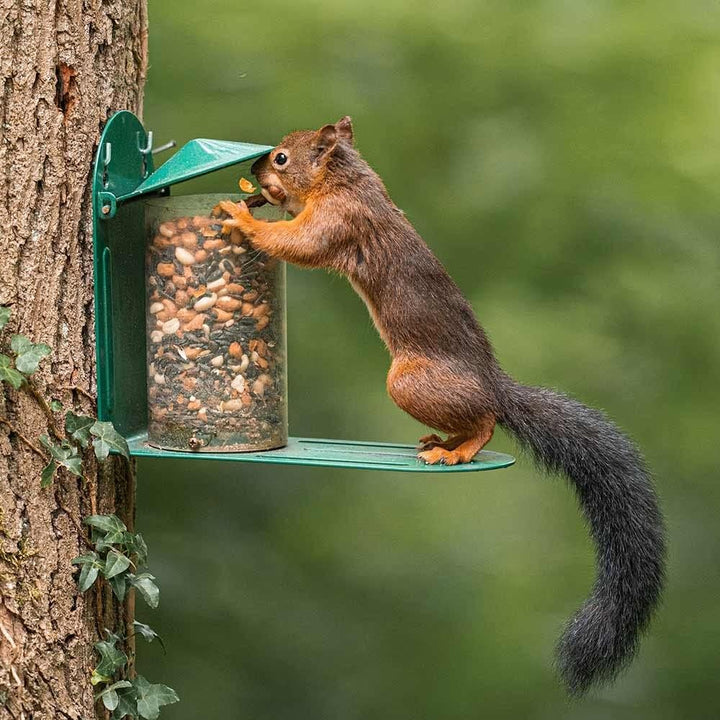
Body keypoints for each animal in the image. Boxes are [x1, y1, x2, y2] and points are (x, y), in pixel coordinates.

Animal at [219, 116, 666, 695]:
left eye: (280, 157)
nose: (254, 170)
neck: (347, 181)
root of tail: (494, 385)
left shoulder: (340, 222)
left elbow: (299, 243)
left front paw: (240, 215)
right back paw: (443, 441)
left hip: (410, 384)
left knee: (487, 422)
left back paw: (460, 448)